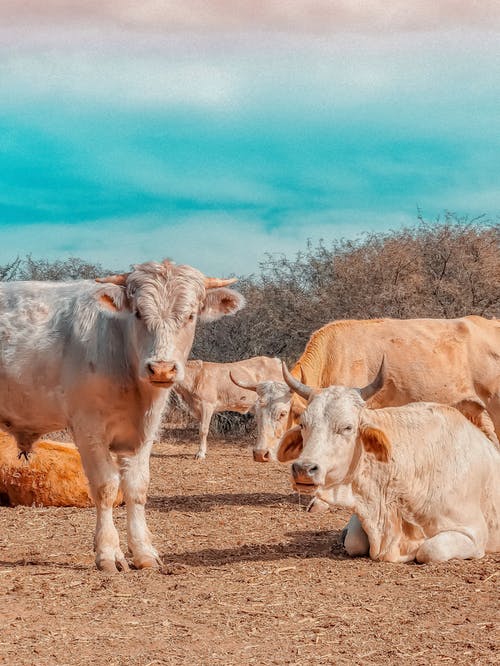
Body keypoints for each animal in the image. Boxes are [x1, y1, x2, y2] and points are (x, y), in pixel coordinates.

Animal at [0, 260, 244, 572]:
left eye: (190, 315)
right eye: (138, 313)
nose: (161, 369)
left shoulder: (145, 430)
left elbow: (137, 487)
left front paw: (142, 551)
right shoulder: (88, 427)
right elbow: (106, 486)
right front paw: (107, 552)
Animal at [278, 364, 500, 560]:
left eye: (347, 427)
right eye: (303, 424)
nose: (303, 468)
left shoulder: (473, 533)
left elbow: (429, 551)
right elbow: (354, 540)